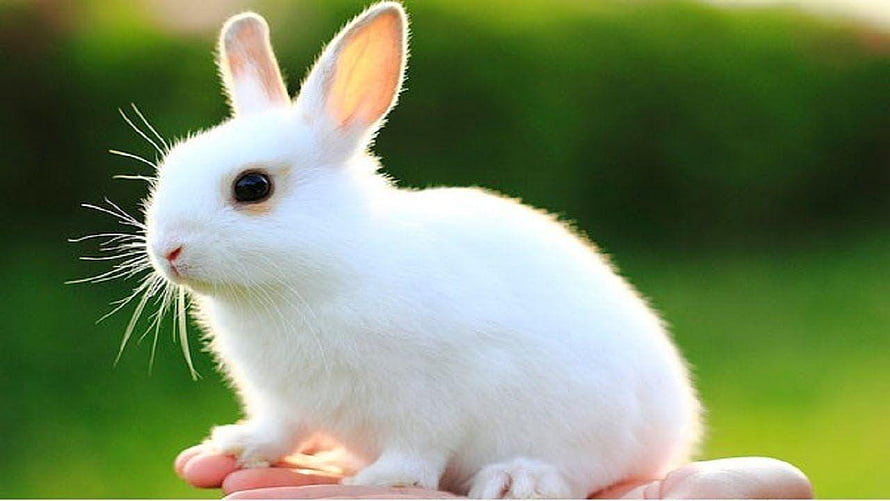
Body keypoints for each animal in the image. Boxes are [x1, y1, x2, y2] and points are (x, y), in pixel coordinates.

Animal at [141, 2, 702, 498]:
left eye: (252, 187)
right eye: (171, 166)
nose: (167, 251)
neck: (326, 267)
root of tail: (675, 430)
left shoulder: (430, 404)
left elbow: (418, 448)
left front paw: (384, 480)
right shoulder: (283, 401)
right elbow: (282, 429)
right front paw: (238, 445)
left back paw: (518, 479)